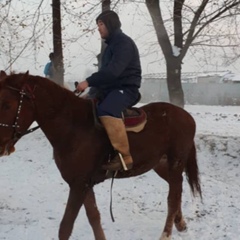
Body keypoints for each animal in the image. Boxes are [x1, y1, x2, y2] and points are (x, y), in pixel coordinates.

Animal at [0, 71, 202, 240]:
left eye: (7, 105)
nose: (1, 146)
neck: (73, 126)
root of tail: (187, 116)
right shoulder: (84, 184)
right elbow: (94, 217)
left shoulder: (79, 185)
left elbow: (66, 227)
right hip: (160, 165)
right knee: (177, 189)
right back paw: (180, 223)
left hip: (175, 163)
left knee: (173, 197)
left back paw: (166, 233)